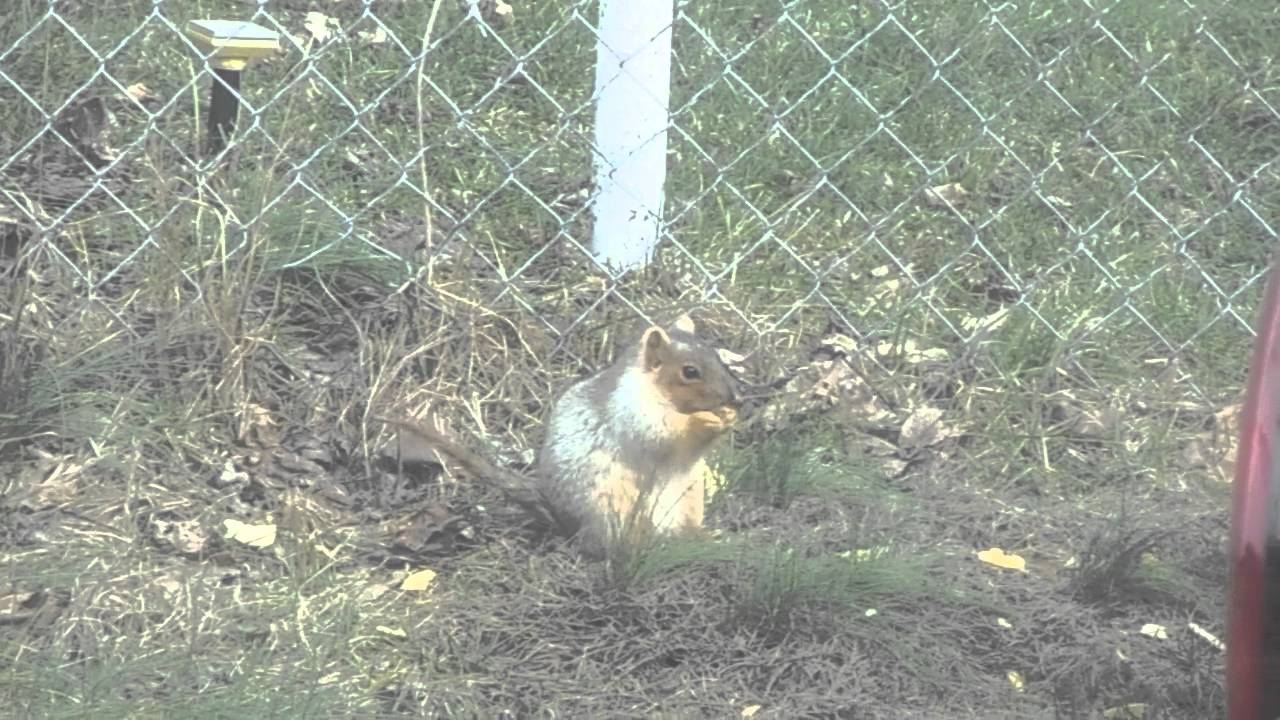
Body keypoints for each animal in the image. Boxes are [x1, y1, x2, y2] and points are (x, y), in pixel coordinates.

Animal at [380, 313, 742, 559]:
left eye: (717, 355)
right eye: (689, 372)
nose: (736, 397)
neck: (654, 389)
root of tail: (564, 521)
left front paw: (728, 417)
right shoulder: (632, 411)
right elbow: (663, 431)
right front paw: (704, 419)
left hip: (689, 500)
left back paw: (706, 538)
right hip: (610, 507)